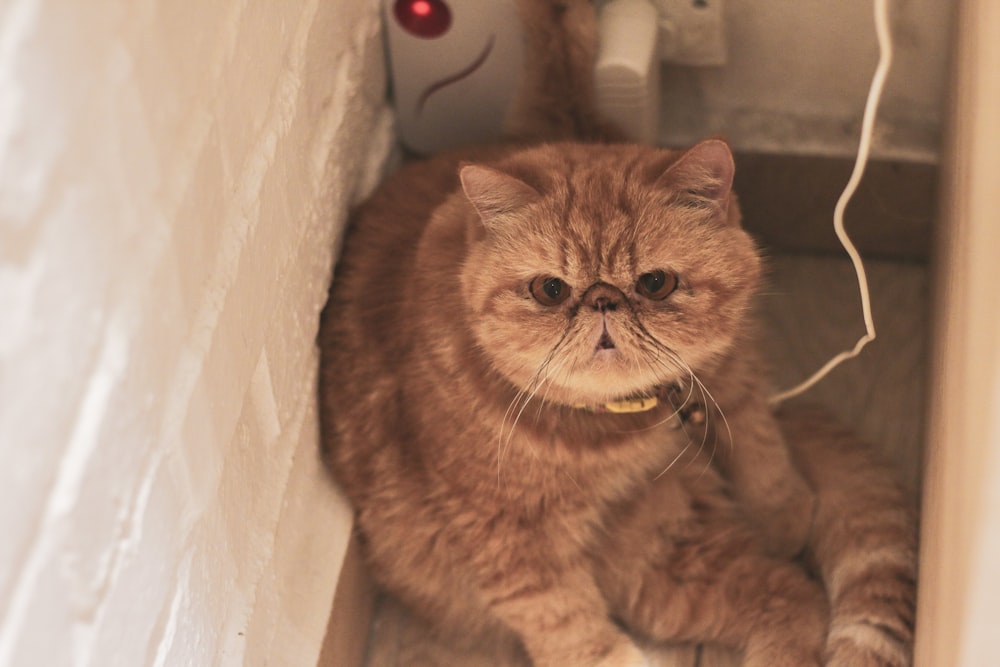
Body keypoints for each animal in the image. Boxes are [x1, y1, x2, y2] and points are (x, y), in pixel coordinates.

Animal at [318, 1, 916, 667]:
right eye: (550, 291)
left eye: (655, 283)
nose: (603, 299)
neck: (631, 419)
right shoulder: (512, 540)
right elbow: (572, 627)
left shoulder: (734, 374)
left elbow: (759, 444)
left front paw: (784, 511)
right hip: (661, 570)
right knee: (789, 594)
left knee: (791, 592)